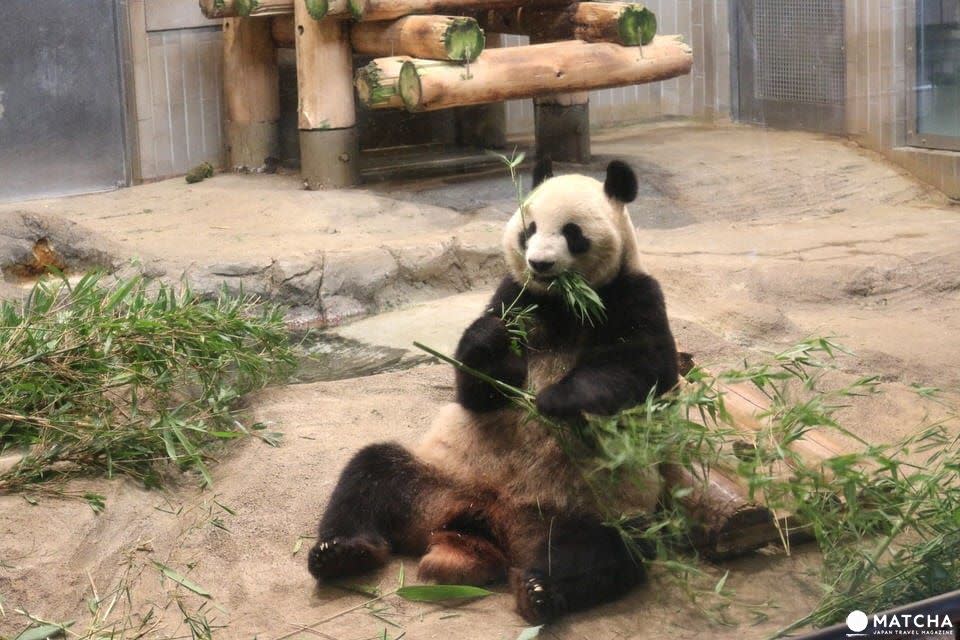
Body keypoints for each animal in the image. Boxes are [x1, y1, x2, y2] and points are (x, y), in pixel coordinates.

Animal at [308, 158, 676, 624]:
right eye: (529, 229)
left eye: (571, 233)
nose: (539, 264)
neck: (562, 302)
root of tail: (485, 524)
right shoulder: (514, 296)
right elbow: (476, 389)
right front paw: (490, 339)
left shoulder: (634, 295)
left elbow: (640, 370)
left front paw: (554, 401)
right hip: (437, 480)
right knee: (370, 474)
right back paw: (340, 553)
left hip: (586, 510)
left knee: (608, 548)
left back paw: (539, 591)